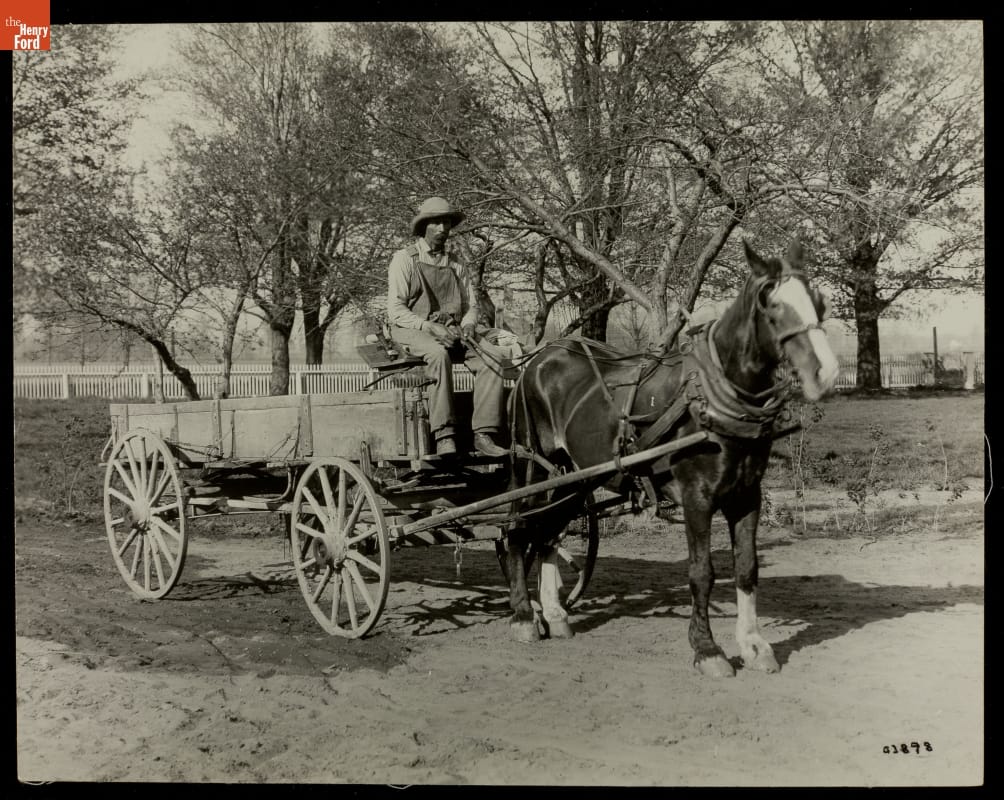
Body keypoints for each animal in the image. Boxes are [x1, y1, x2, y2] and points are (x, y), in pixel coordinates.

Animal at [503, 239, 839, 677]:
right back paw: (524, 615)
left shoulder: (747, 495)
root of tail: (539, 360)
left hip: (575, 478)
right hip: (531, 464)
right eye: (773, 305)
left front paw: (754, 645)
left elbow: (747, 568)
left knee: (547, 532)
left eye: (819, 302)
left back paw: (555, 613)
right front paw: (707, 650)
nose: (825, 372)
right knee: (517, 529)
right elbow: (702, 572)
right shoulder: (697, 498)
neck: (711, 396)